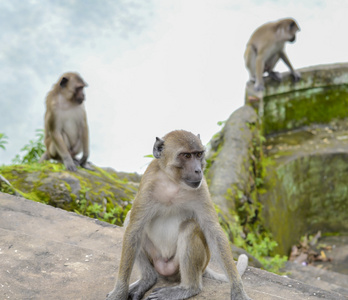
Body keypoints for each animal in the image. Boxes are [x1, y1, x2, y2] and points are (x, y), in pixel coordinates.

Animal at [106, 131, 250, 300]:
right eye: (186, 155)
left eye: (198, 154)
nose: (198, 170)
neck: (173, 182)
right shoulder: (148, 183)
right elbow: (134, 230)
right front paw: (119, 292)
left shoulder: (202, 188)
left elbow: (213, 232)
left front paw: (238, 290)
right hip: (157, 259)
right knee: (130, 220)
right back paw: (148, 279)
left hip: (185, 265)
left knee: (190, 227)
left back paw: (189, 288)